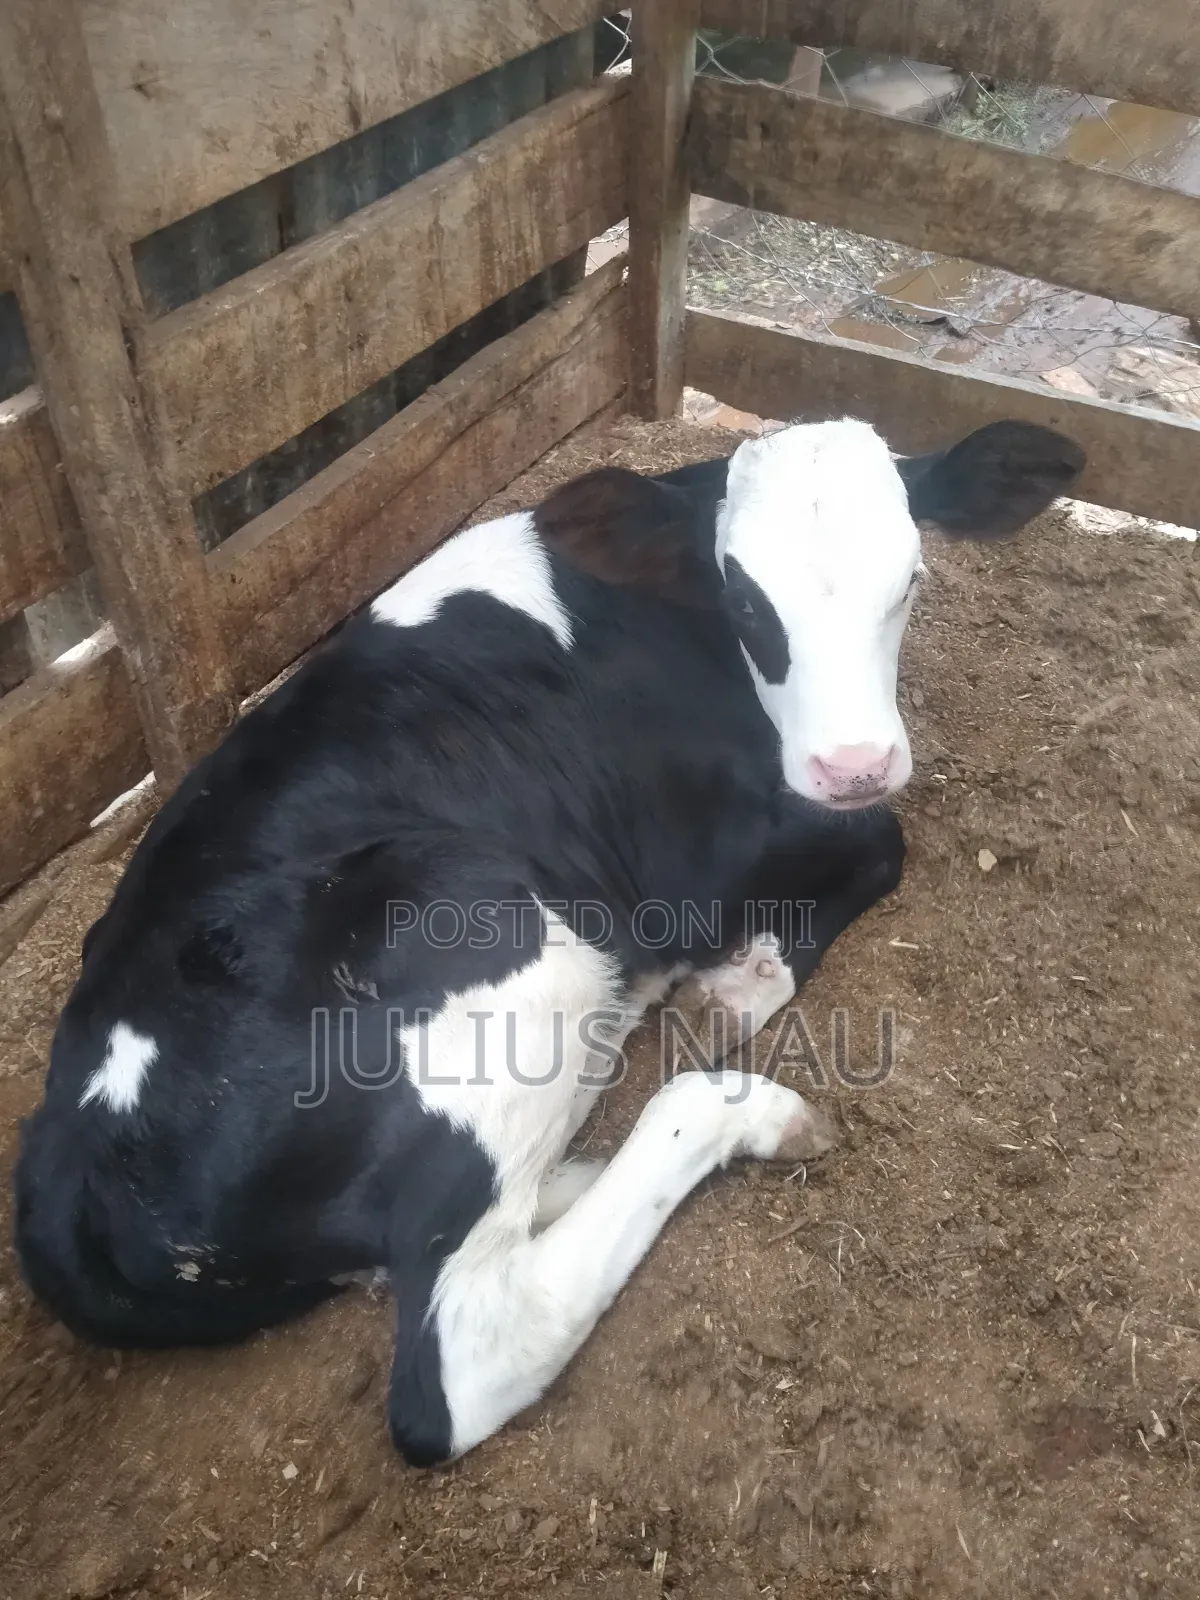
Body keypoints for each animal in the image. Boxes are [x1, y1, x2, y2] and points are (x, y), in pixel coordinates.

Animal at [13, 416, 1084, 1466]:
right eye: (745, 600)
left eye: (910, 578)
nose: (853, 763)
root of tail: (66, 1160)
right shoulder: (693, 871)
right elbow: (883, 843)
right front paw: (744, 980)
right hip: (503, 929)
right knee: (467, 1355)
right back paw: (746, 1113)